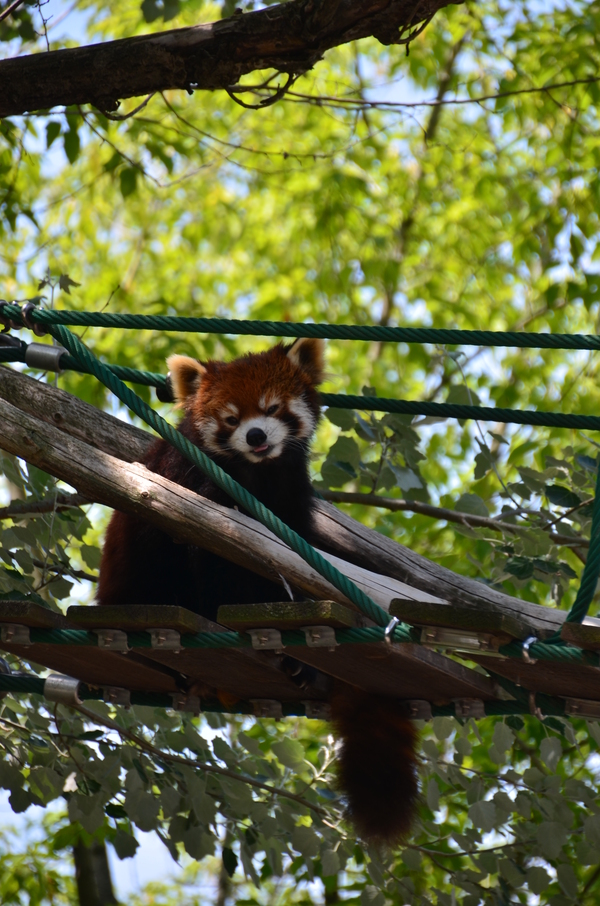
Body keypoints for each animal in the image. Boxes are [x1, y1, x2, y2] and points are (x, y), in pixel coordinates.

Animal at [97, 336, 418, 844]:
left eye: (271, 408)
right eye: (231, 419)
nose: (255, 436)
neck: (255, 472)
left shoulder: (290, 497)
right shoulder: (194, 483)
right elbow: (214, 561)